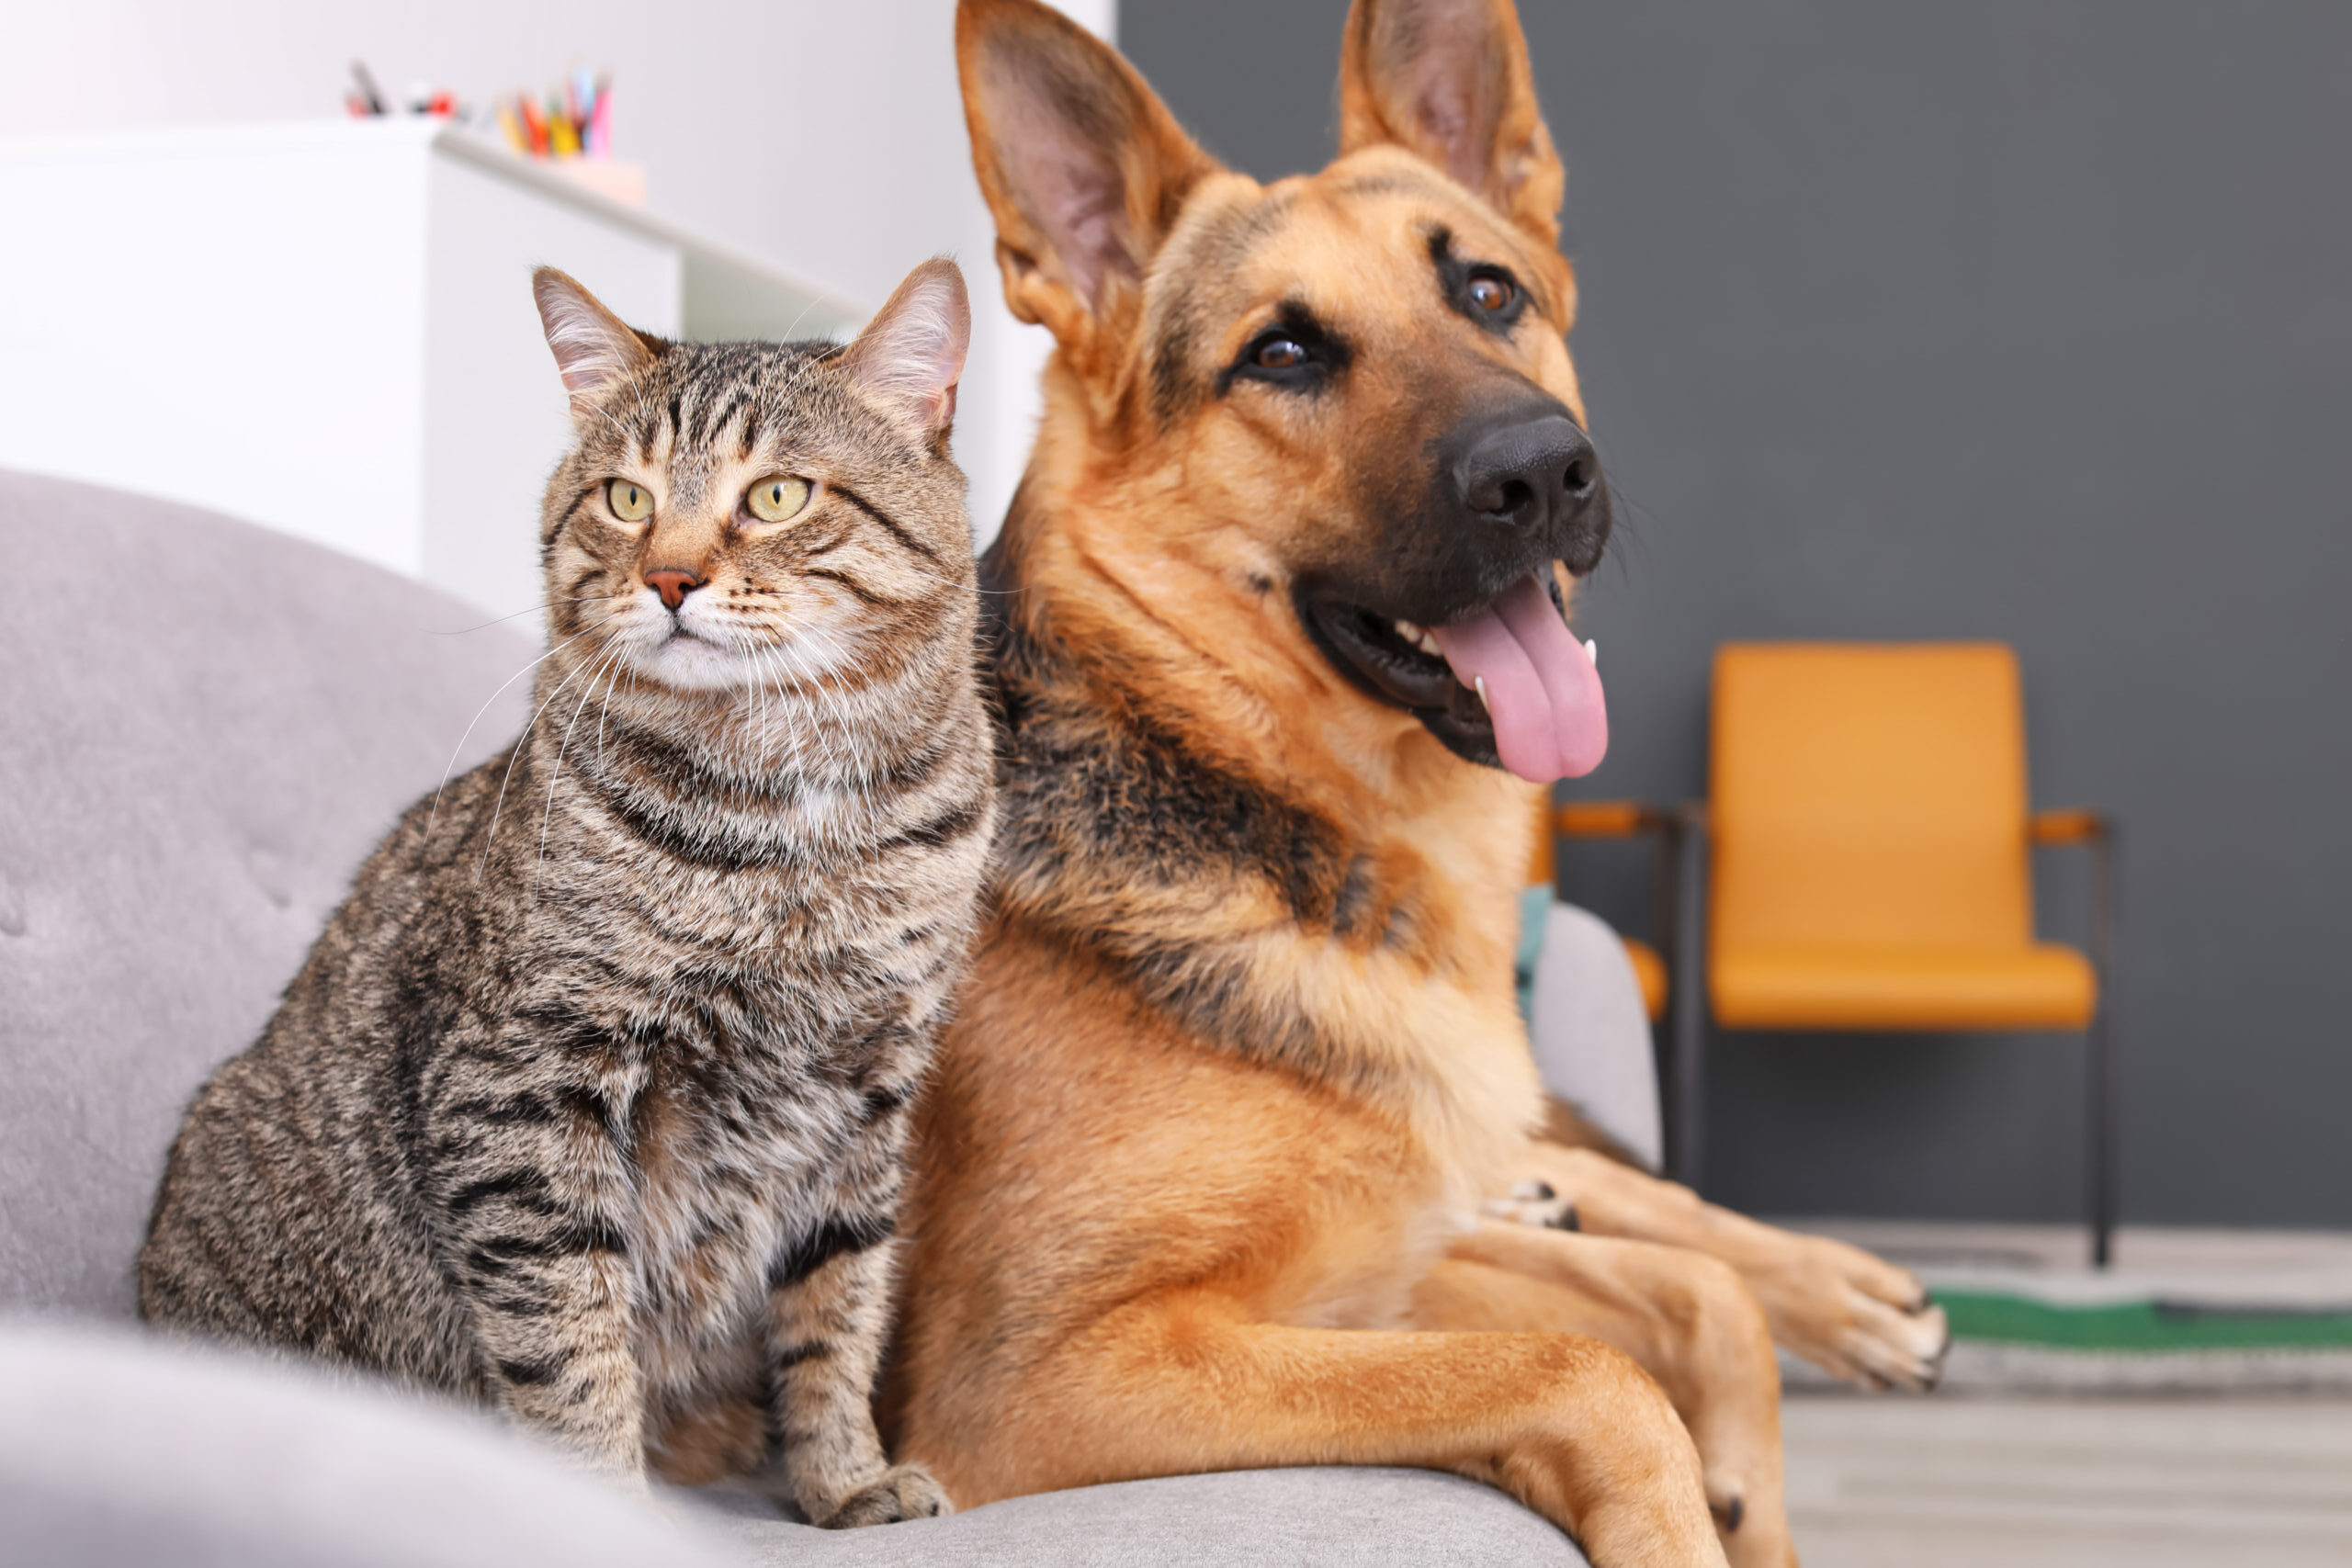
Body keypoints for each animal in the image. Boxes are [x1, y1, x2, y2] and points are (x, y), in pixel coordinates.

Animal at [140, 261, 992, 1532]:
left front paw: (844, 1478)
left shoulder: (868, 1099)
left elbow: (837, 1312)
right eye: (626, 499)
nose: (670, 576)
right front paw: (601, 1507)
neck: (795, 825)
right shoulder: (525, 1092)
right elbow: (571, 1342)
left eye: (778, 495)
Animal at [884, 6, 1947, 1561]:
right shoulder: (1038, 1376)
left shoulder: (1373, 1269)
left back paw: (1846, 1291)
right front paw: (1692, 1496)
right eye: (1281, 352)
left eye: (1490, 292)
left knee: (1638, 1208)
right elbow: (1594, 1367)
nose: (1543, 472)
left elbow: (1669, 1308)